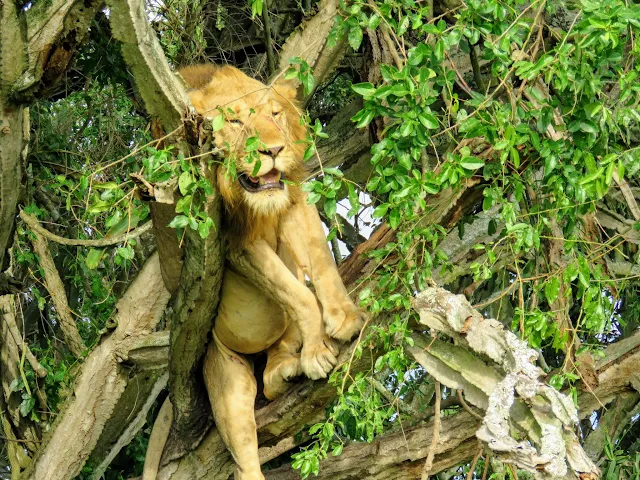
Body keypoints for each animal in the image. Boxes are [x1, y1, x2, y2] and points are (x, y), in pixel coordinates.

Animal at [143, 64, 368, 480]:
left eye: (274, 115)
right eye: (233, 122)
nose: (273, 151)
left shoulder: (293, 198)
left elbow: (319, 262)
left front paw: (345, 319)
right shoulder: (234, 243)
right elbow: (299, 296)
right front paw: (318, 349)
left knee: (272, 371)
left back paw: (286, 369)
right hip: (226, 380)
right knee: (245, 449)